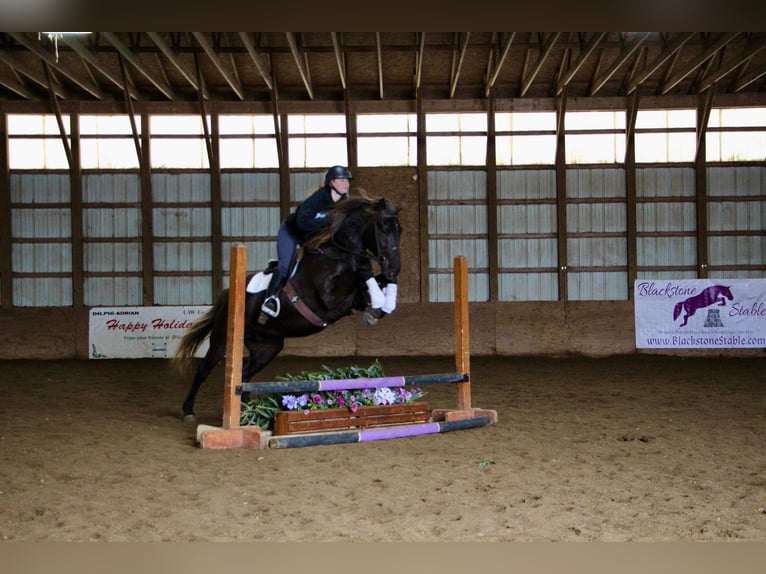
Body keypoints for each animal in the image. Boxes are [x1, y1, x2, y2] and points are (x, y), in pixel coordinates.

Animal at [172, 196, 402, 426]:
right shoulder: (328, 300)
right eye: (383, 227)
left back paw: (247, 411)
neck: (339, 254)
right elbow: (360, 278)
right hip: (221, 341)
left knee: (245, 371)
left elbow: (372, 289)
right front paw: (375, 291)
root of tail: (227, 294)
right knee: (204, 369)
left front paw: (379, 305)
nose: (394, 267)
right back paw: (189, 411)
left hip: (267, 348)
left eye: (400, 230)